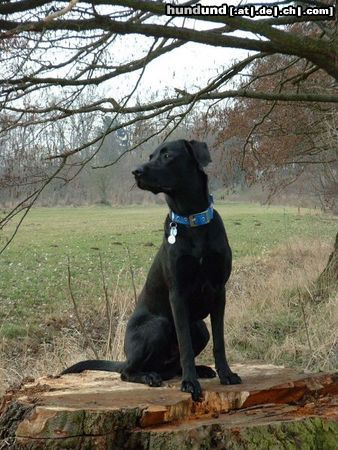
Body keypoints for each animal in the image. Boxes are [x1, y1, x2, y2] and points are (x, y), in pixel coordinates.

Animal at [60, 139, 240, 400]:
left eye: (167, 155)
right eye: (150, 156)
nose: (136, 171)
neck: (191, 220)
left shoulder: (219, 291)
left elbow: (220, 341)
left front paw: (226, 374)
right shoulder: (177, 294)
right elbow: (185, 345)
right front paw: (190, 384)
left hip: (200, 327)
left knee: (173, 364)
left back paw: (199, 370)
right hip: (158, 326)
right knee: (127, 371)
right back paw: (150, 376)